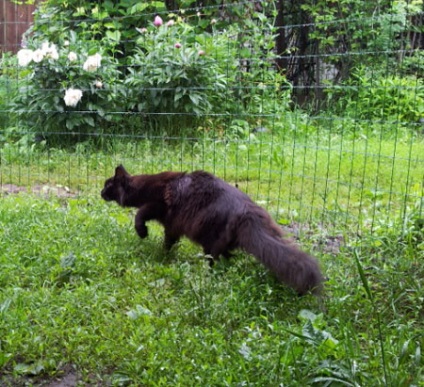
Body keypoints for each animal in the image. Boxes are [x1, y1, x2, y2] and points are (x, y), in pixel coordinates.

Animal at [101, 165, 322, 296]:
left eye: (107, 185)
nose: (100, 192)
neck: (144, 186)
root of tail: (247, 211)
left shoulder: (158, 206)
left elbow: (140, 215)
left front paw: (145, 236)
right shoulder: (172, 226)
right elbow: (168, 241)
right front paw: (164, 255)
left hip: (209, 241)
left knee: (213, 262)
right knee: (228, 257)